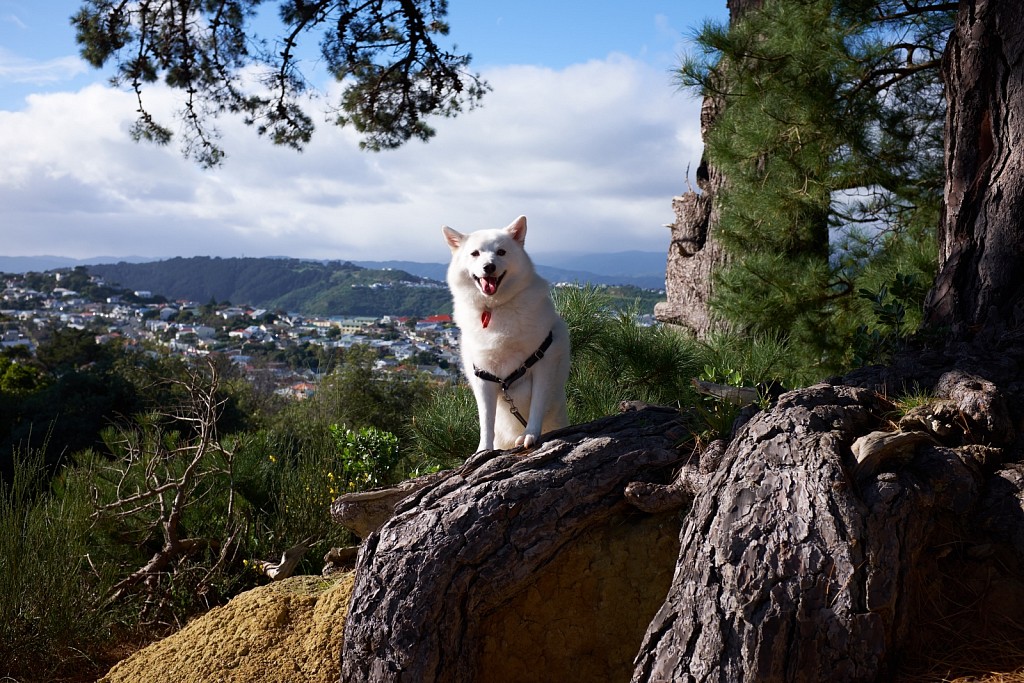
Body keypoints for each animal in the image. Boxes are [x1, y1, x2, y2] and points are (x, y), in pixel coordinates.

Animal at [442, 216, 573, 450]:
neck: (495, 308)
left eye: (501, 252)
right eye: (475, 253)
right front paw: (483, 450)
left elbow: (536, 406)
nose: (489, 266)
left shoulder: (543, 364)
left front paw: (530, 434)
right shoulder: (483, 377)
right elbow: (486, 421)